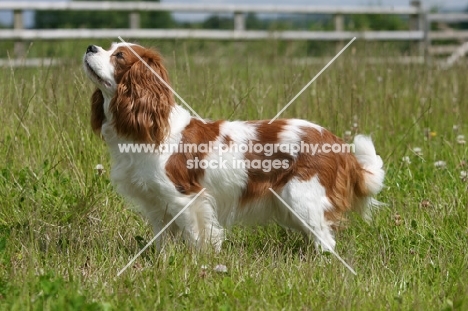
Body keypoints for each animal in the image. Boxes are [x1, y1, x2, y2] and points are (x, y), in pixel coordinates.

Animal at [84, 42, 384, 252]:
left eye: (119, 55)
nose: (90, 47)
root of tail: (336, 142)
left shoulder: (186, 198)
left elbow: (198, 237)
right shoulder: (158, 206)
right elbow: (163, 242)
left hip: (301, 197)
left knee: (326, 242)